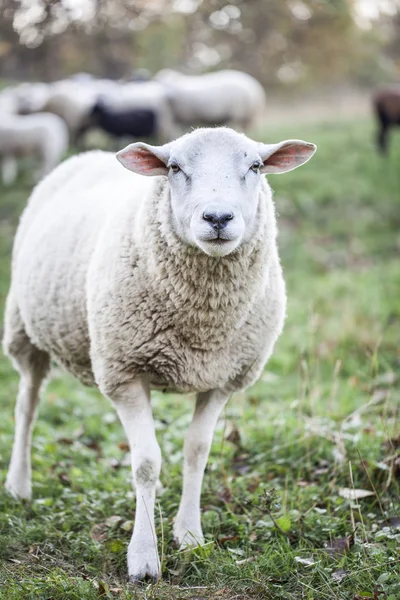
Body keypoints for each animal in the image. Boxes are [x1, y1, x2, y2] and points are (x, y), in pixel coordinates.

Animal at [3, 125, 316, 580]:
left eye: (256, 166)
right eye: (174, 168)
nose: (218, 218)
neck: (202, 324)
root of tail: (88, 155)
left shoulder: (222, 378)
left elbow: (196, 452)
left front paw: (190, 535)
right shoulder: (124, 372)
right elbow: (146, 463)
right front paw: (144, 557)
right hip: (25, 330)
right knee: (27, 406)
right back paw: (19, 485)